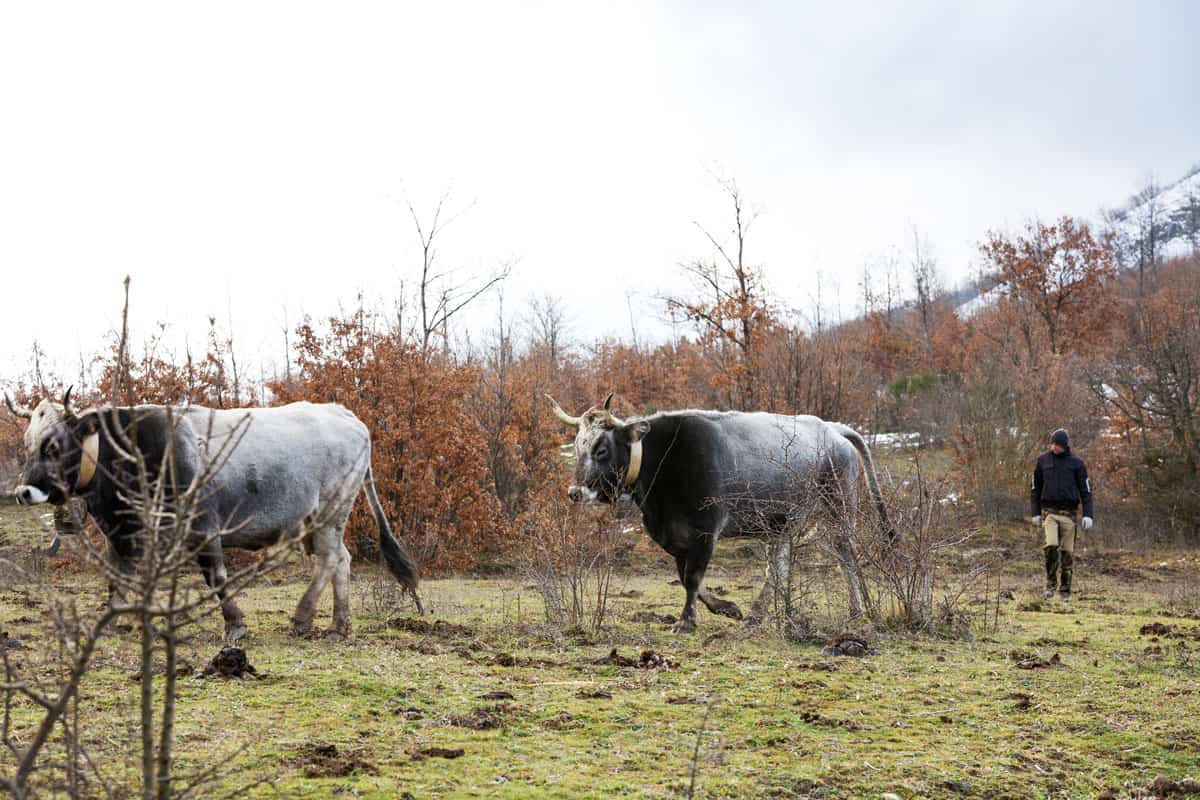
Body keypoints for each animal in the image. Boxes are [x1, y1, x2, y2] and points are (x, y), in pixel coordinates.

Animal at [7, 391, 420, 642]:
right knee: (341, 561)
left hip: (331, 511)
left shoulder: (202, 528)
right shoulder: (124, 536)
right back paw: (340, 624)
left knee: (330, 559)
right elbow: (118, 582)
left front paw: (235, 623)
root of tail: (342, 413)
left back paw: (304, 617)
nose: (24, 491)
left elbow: (216, 577)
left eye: (53, 445)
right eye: (27, 444)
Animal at [549, 393, 897, 633]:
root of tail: (830, 427)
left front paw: (686, 621)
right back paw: (762, 615)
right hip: (781, 523)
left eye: (601, 449)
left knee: (845, 555)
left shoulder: (705, 529)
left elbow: (692, 577)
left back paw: (856, 609)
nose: (575, 492)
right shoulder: (675, 537)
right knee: (779, 565)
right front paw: (726, 607)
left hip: (839, 510)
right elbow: (688, 578)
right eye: (578, 447)